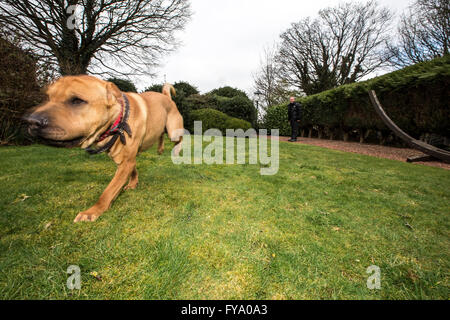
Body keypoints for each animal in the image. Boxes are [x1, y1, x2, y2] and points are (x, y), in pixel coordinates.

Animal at [23, 75, 183, 222]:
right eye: (48, 98)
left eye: (77, 100)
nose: (30, 121)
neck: (117, 120)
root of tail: (166, 96)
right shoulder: (125, 160)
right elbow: (133, 169)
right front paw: (132, 184)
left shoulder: (126, 162)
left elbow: (108, 192)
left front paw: (93, 211)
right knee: (160, 134)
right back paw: (160, 148)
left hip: (173, 132)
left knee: (179, 139)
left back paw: (176, 150)